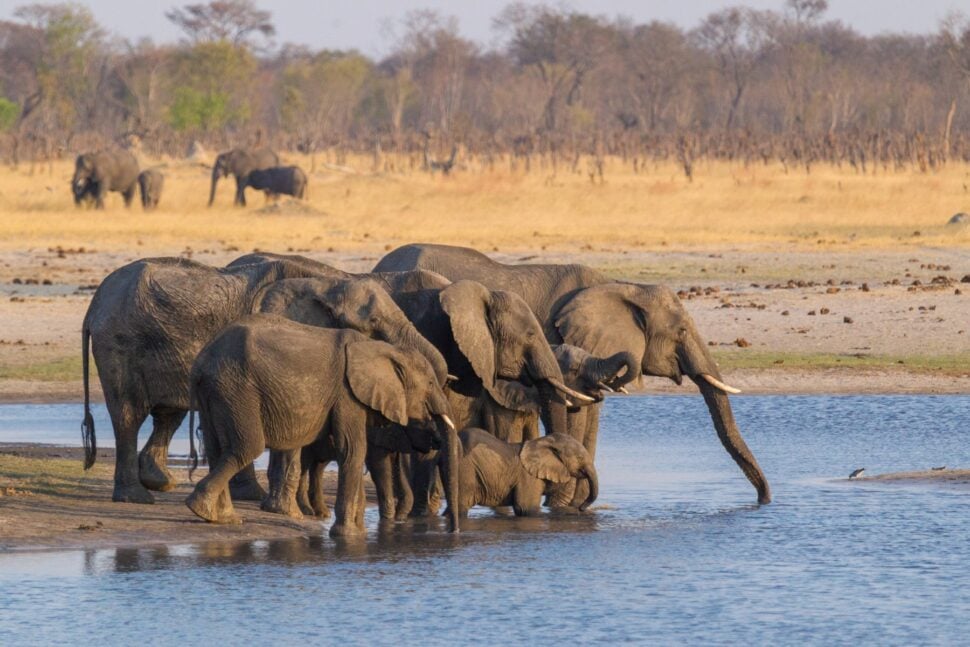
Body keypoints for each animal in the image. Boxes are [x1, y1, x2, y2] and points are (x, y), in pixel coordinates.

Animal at [81, 256, 331, 504]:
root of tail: (94, 305)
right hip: (119, 343)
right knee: (129, 414)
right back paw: (136, 497)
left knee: (169, 413)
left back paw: (159, 482)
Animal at [186, 316, 460, 537]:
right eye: (430, 384)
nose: (454, 532)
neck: (383, 349)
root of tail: (201, 360)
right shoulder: (347, 393)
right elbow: (353, 450)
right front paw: (348, 535)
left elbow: (356, 452)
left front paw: (357, 531)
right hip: (237, 388)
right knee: (248, 447)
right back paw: (203, 509)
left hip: (216, 391)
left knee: (217, 450)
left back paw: (219, 517)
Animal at [374, 243, 772, 505]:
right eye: (682, 332)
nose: (764, 501)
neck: (623, 286)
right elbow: (571, 416)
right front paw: (563, 505)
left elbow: (591, 416)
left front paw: (577, 506)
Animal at [452, 428, 598, 517]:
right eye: (579, 457)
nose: (581, 508)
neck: (544, 440)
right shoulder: (528, 477)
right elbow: (526, 509)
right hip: (465, 470)